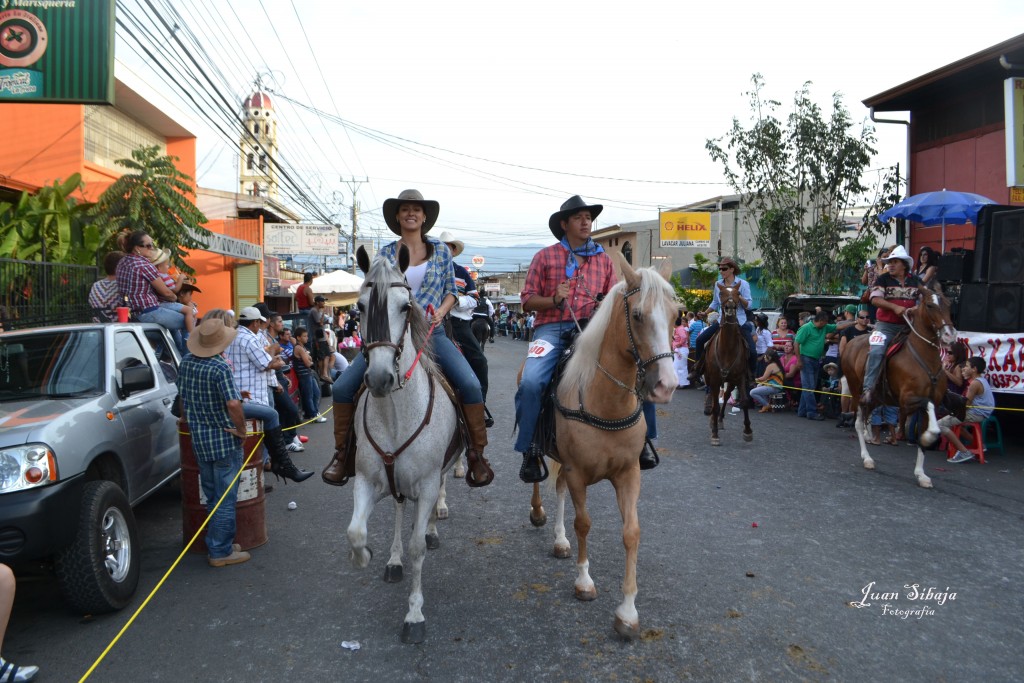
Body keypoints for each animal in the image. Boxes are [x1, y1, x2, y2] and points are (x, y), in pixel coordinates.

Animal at [346, 246, 462, 647]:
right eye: (359, 306)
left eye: (404, 306)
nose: (380, 378)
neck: (396, 415)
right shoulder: (366, 479)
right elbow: (356, 532)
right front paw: (367, 555)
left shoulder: (426, 483)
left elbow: (418, 547)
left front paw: (414, 615)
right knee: (398, 508)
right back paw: (393, 561)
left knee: (435, 494)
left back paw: (434, 524)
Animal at [528, 250, 679, 643]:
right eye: (637, 315)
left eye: (677, 315)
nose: (667, 385)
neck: (605, 402)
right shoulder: (579, 472)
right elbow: (584, 523)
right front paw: (584, 582)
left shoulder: (628, 473)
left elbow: (631, 533)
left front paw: (627, 612)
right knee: (538, 478)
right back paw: (537, 511)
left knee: (558, 489)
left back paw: (560, 541)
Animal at [704, 280, 753, 446]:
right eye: (721, 293)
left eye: (738, 293)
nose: (730, 307)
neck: (727, 349)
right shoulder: (714, 378)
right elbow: (715, 406)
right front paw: (714, 435)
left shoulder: (741, 377)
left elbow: (744, 401)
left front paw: (747, 431)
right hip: (712, 379)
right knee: (713, 398)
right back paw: (713, 419)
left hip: (730, 381)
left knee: (725, 396)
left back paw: (719, 420)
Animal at [839, 286, 958, 489]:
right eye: (930, 305)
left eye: (949, 304)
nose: (950, 334)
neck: (925, 359)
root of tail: (851, 343)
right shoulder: (907, 400)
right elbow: (927, 407)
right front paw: (929, 437)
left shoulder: (931, 402)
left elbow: (927, 424)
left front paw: (921, 474)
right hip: (856, 392)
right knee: (858, 422)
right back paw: (867, 458)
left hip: (877, 397)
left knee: (868, 417)